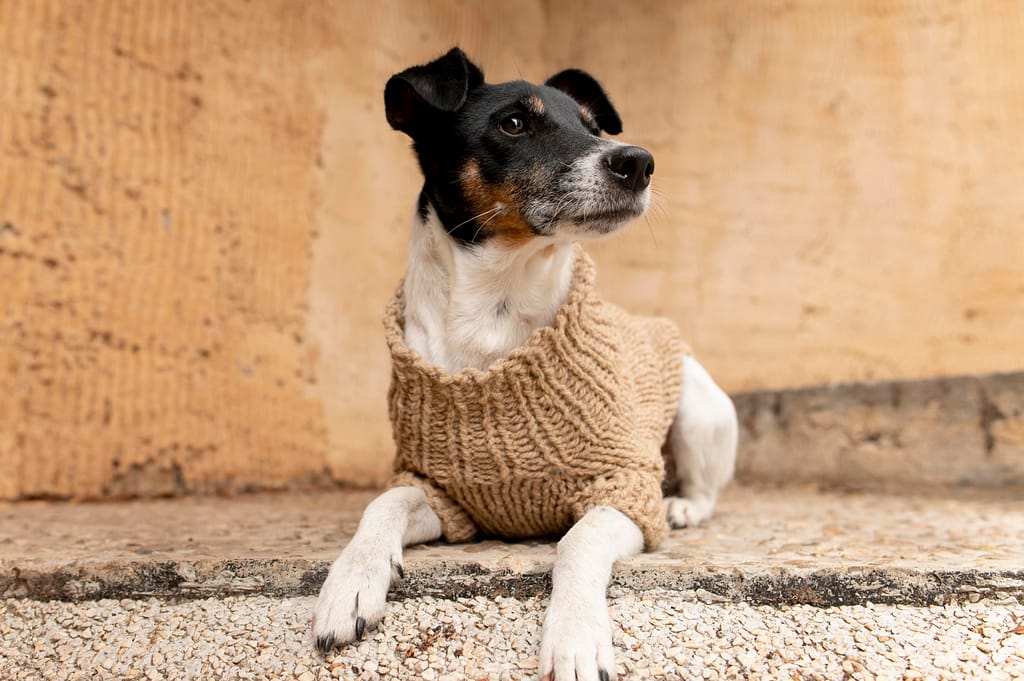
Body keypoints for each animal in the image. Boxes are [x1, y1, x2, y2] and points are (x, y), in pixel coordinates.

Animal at [311, 49, 737, 679]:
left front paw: (575, 635)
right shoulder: (442, 496)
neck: (496, 317)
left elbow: (576, 542)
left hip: (702, 413)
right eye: (513, 123)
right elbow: (382, 503)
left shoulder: (620, 487)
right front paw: (351, 583)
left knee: (704, 489)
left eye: (593, 126)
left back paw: (681, 503)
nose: (638, 162)